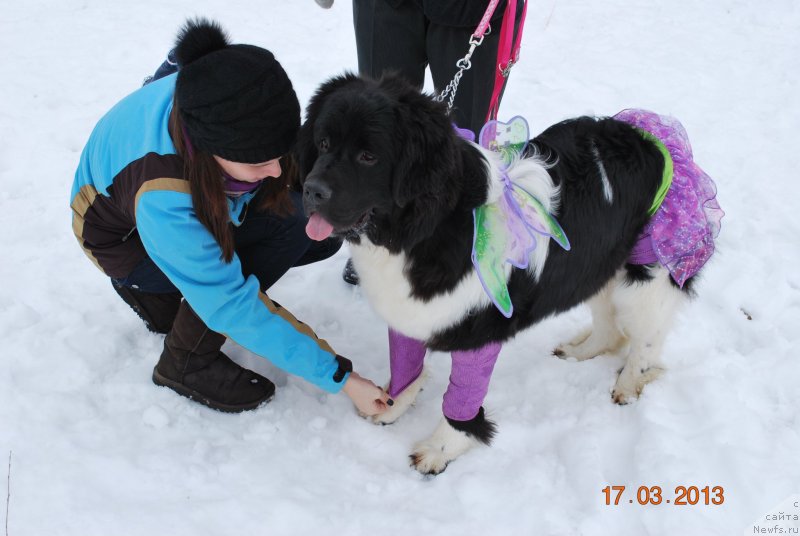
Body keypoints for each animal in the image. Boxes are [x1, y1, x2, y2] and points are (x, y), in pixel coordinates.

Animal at [298, 72, 720, 474]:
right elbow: (405, 368)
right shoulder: (410, 314)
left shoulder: (479, 328)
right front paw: (389, 405)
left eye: (368, 156)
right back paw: (579, 352)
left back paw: (629, 385)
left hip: (646, 275)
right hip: (597, 262)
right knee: (610, 327)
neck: (426, 228)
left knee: (645, 339)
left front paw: (439, 450)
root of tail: (651, 138)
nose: (311, 190)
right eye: (323, 143)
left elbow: (462, 400)